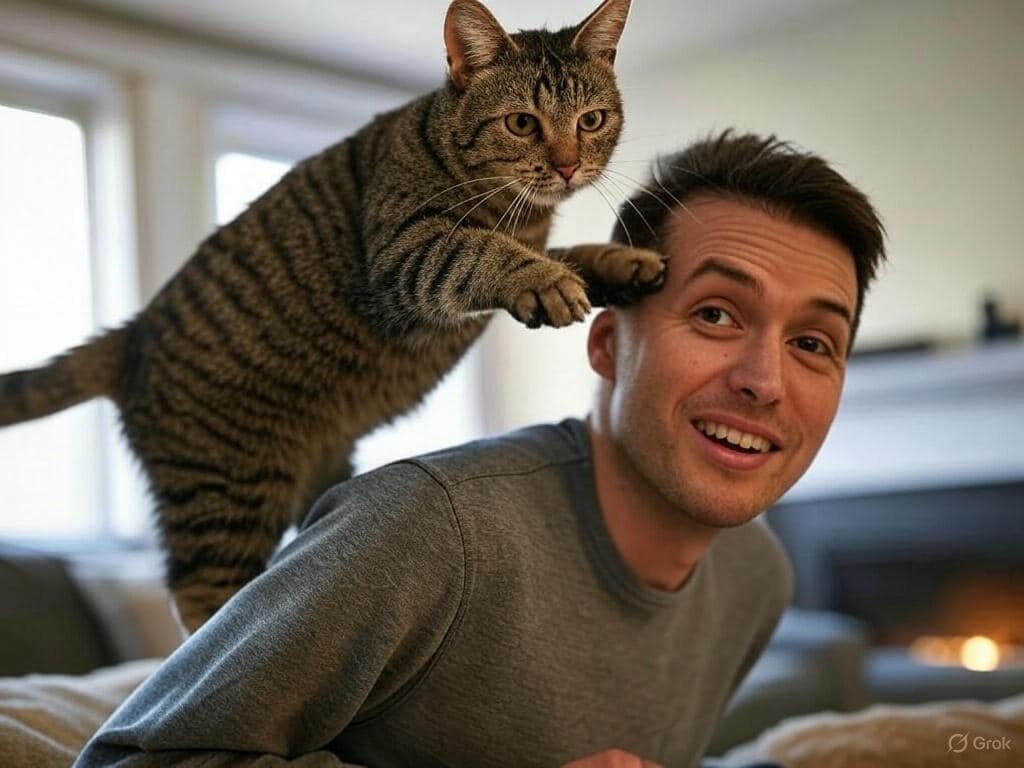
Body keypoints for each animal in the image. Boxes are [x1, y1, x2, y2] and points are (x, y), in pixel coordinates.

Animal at [0, 0, 663, 634]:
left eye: (591, 120)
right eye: (523, 122)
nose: (569, 165)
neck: (518, 214)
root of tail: (134, 332)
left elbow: (569, 251)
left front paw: (620, 260)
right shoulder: (405, 257)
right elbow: (481, 251)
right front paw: (542, 278)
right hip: (226, 494)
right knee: (204, 604)